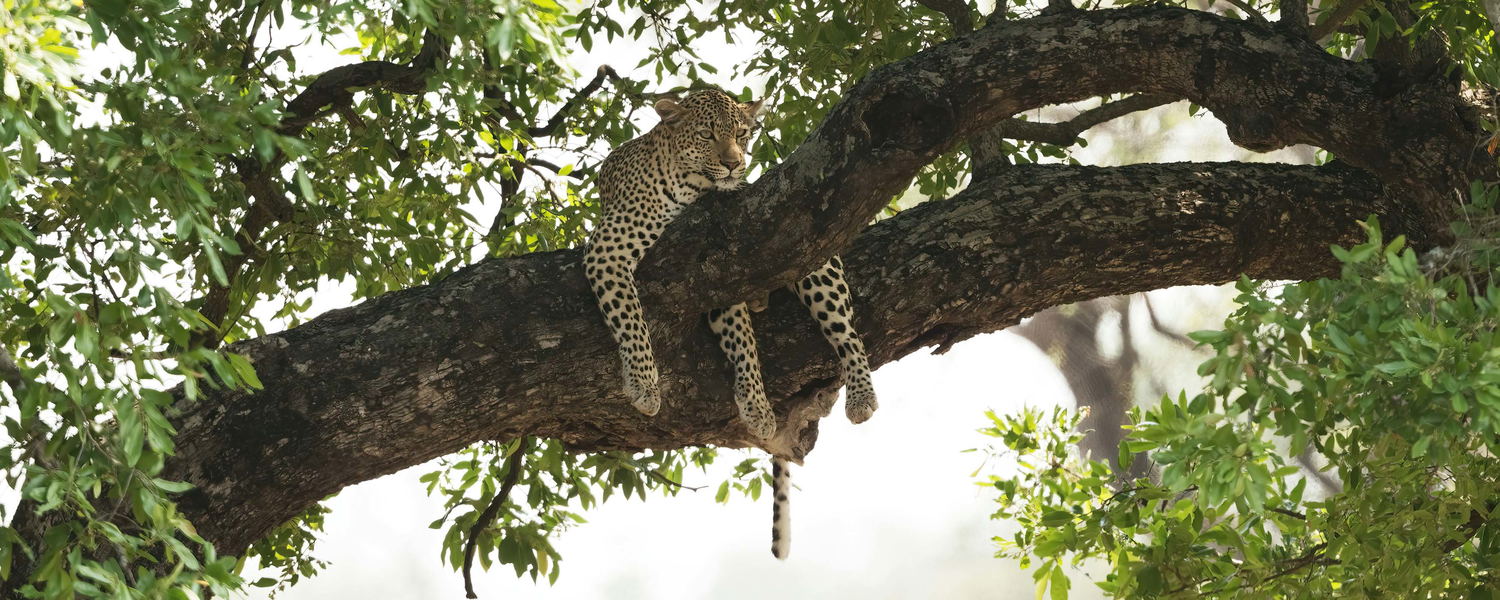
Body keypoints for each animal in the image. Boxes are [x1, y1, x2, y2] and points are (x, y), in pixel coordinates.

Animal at [583, 88, 878, 559]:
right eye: (707, 135)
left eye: (741, 134)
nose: (735, 164)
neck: (691, 187)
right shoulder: (610, 247)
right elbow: (631, 317)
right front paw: (645, 384)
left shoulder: (726, 269)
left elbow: (743, 341)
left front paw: (756, 406)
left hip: (810, 248)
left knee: (847, 330)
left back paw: (861, 394)